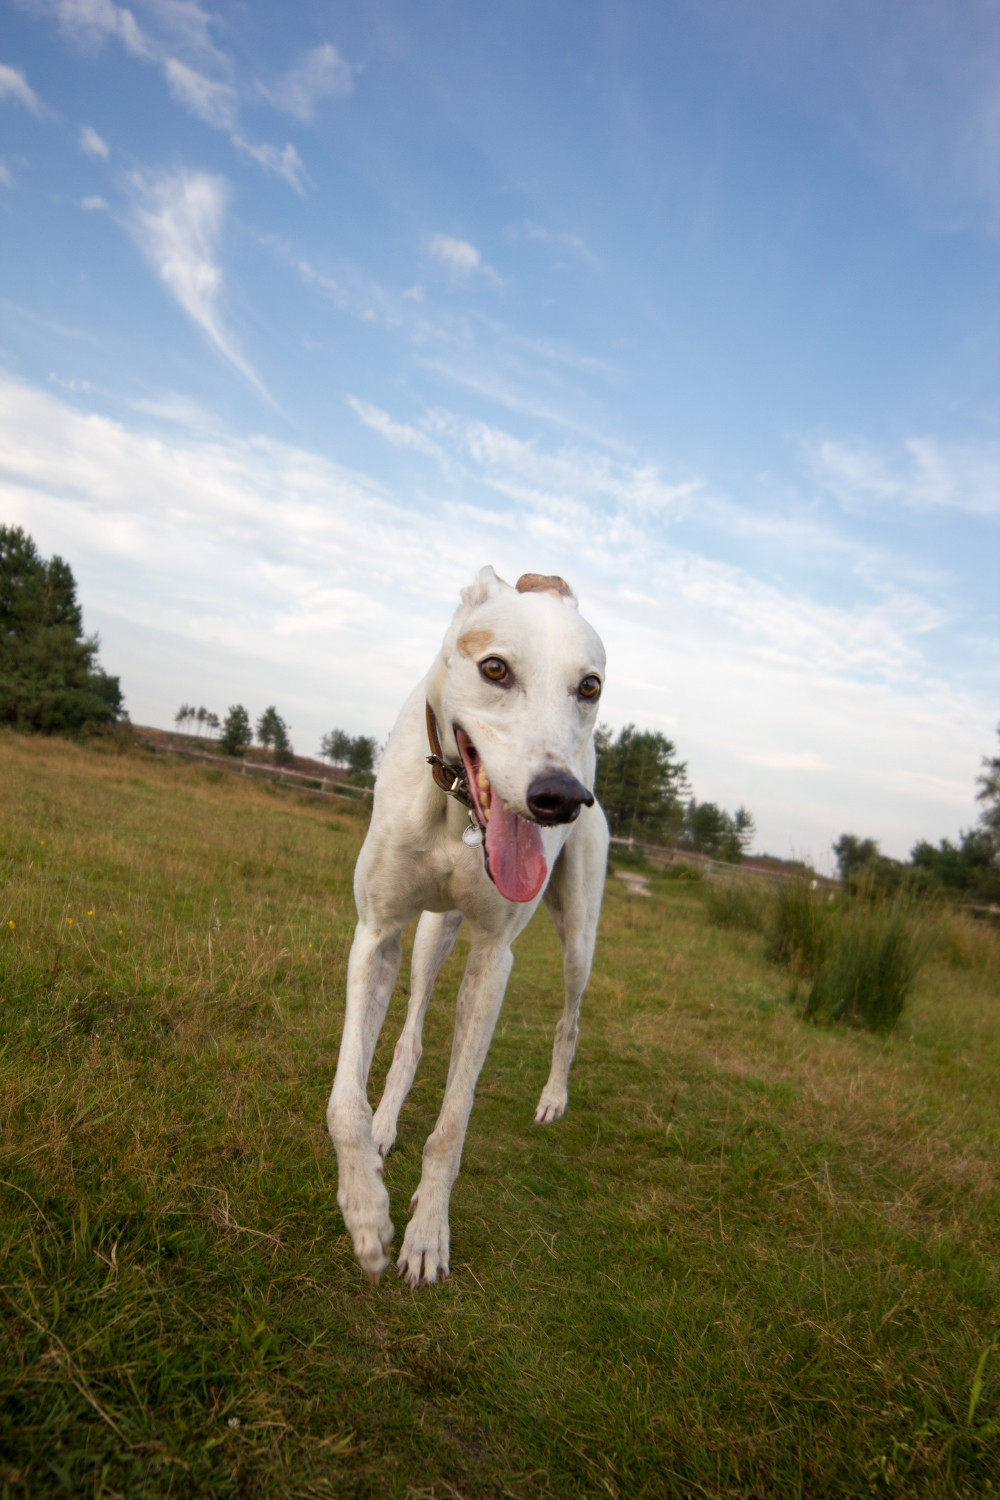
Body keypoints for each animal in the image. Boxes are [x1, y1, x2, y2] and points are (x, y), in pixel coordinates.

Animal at [328, 564, 611, 1290]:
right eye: (495, 668)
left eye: (588, 686)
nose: (560, 798)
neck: (458, 811)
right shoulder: (376, 934)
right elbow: (345, 1101)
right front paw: (365, 1208)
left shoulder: (493, 959)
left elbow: (453, 1125)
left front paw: (427, 1234)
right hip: (433, 932)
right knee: (410, 1036)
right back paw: (385, 1127)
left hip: (580, 934)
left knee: (570, 1018)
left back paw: (553, 1096)